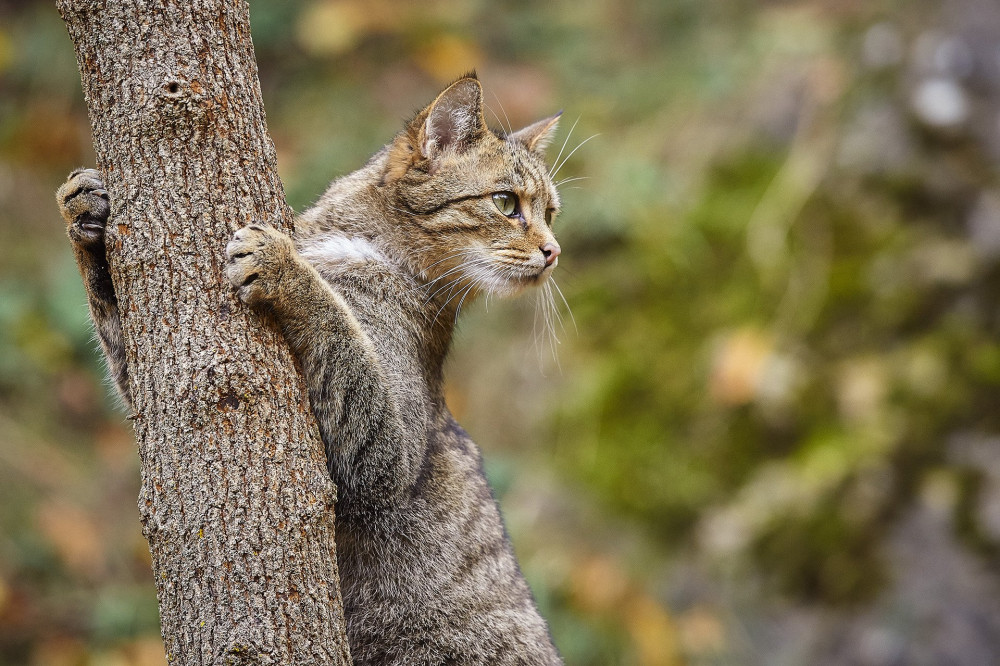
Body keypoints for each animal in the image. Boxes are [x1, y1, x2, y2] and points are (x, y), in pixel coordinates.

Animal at [58, 74, 568, 664]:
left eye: (550, 214)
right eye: (507, 202)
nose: (554, 250)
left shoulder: (384, 462)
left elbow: (335, 323)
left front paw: (285, 266)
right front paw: (86, 212)